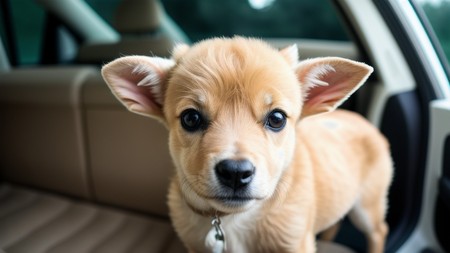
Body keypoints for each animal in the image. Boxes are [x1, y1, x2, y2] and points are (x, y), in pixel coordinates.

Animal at [103, 36, 394, 253]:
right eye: (190, 118)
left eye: (277, 118)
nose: (235, 172)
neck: (232, 222)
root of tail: (363, 121)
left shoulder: (296, 243)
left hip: (368, 206)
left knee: (380, 230)